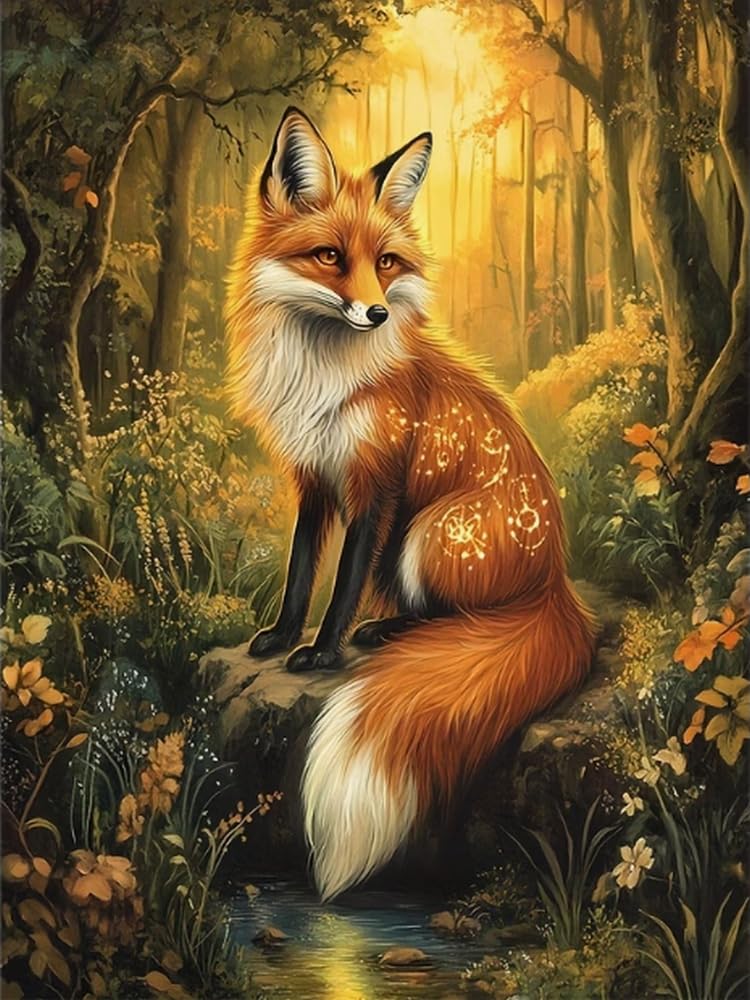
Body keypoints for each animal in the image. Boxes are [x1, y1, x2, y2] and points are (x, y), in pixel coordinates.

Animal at [225, 106, 595, 902]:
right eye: (330, 256)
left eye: (387, 264)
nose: (371, 312)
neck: (326, 378)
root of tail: (559, 589)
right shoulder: (313, 479)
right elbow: (301, 571)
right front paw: (283, 634)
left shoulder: (380, 483)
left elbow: (341, 583)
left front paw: (323, 650)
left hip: (427, 533)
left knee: (460, 620)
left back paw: (388, 635)